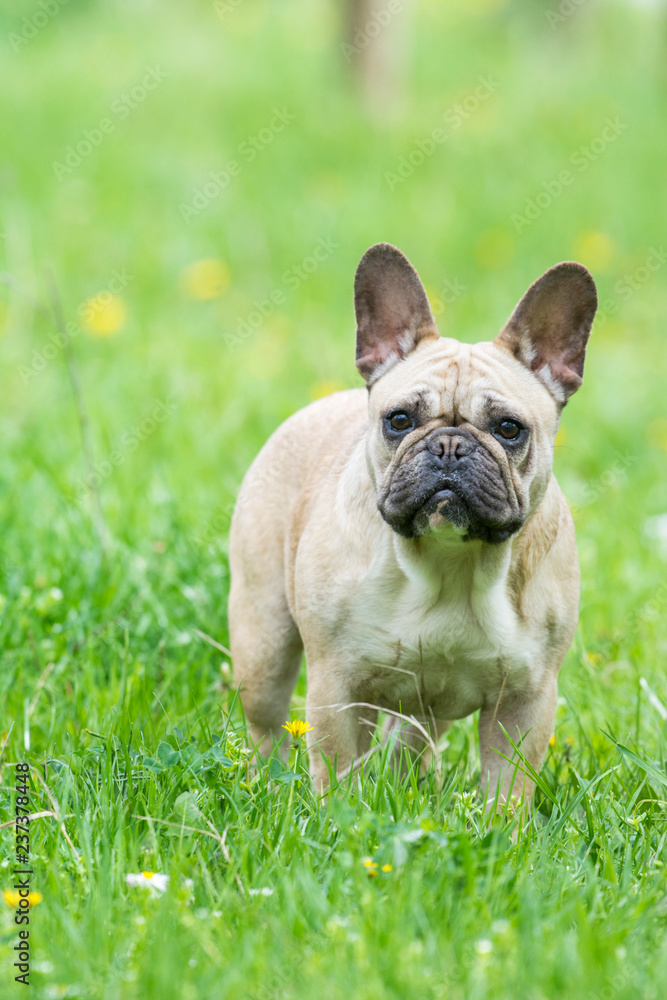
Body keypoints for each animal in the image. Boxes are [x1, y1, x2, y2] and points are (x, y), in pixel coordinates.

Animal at [227, 244, 596, 804]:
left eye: (509, 429)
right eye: (399, 420)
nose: (448, 446)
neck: (451, 561)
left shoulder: (525, 699)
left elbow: (507, 788)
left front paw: (499, 826)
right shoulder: (338, 686)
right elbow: (337, 769)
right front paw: (340, 815)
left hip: (424, 708)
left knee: (408, 744)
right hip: (262, 643)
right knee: (267, 727)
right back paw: (268, 784)